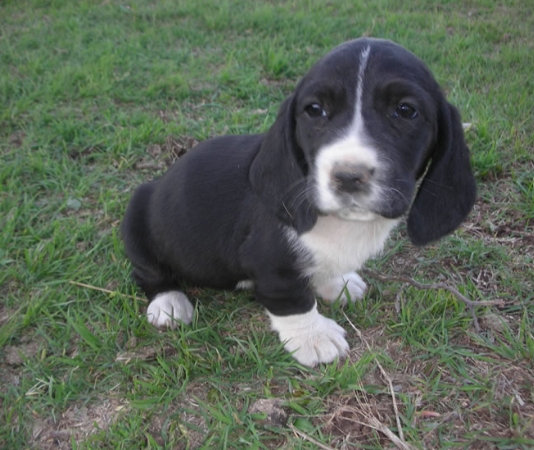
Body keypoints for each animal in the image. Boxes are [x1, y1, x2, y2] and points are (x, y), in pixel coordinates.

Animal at [121, 38, 478, 368]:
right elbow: (292, 299)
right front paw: (315, 337)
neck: (341, 223)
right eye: (315, 110)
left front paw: (337, 283)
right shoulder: (271, 265)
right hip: (137, 218)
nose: (348, 177)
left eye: (406, 111)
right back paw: (169, 302)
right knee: (148, 273)